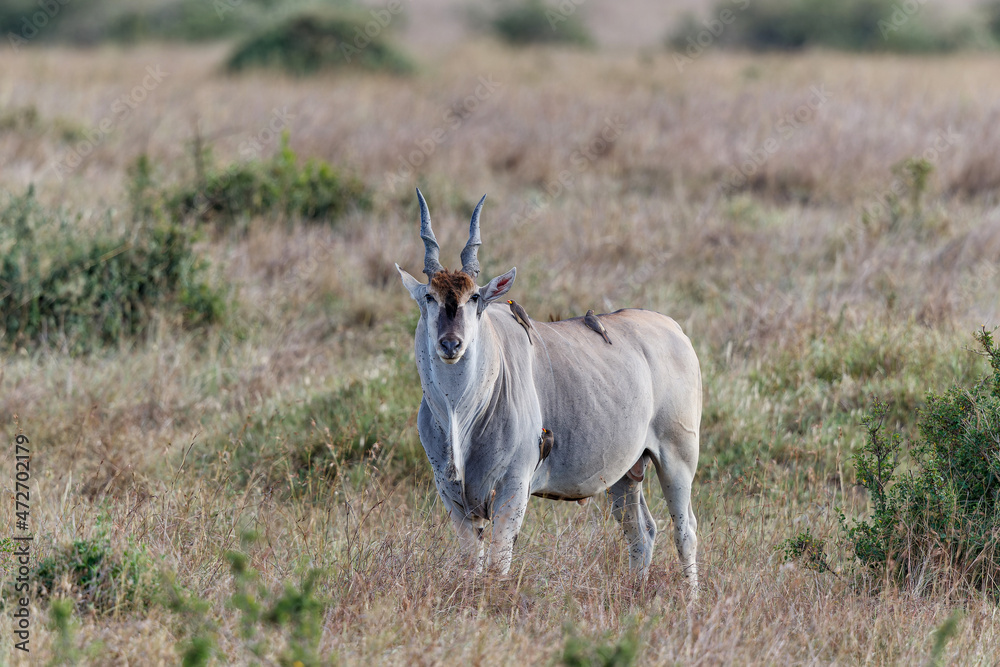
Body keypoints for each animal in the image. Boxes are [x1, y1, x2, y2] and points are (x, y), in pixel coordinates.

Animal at [395, 189, 702, 591]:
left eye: (475, 298)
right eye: (429, 297)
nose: (451, 344)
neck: (460, 411)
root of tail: (675, 330)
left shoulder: (513, 485)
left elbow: (499, 562)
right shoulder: (452, 493)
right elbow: (472, 560)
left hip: (678, 459)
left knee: (685, 531)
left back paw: (691, 598)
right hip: (625, 474)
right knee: (642, 532)